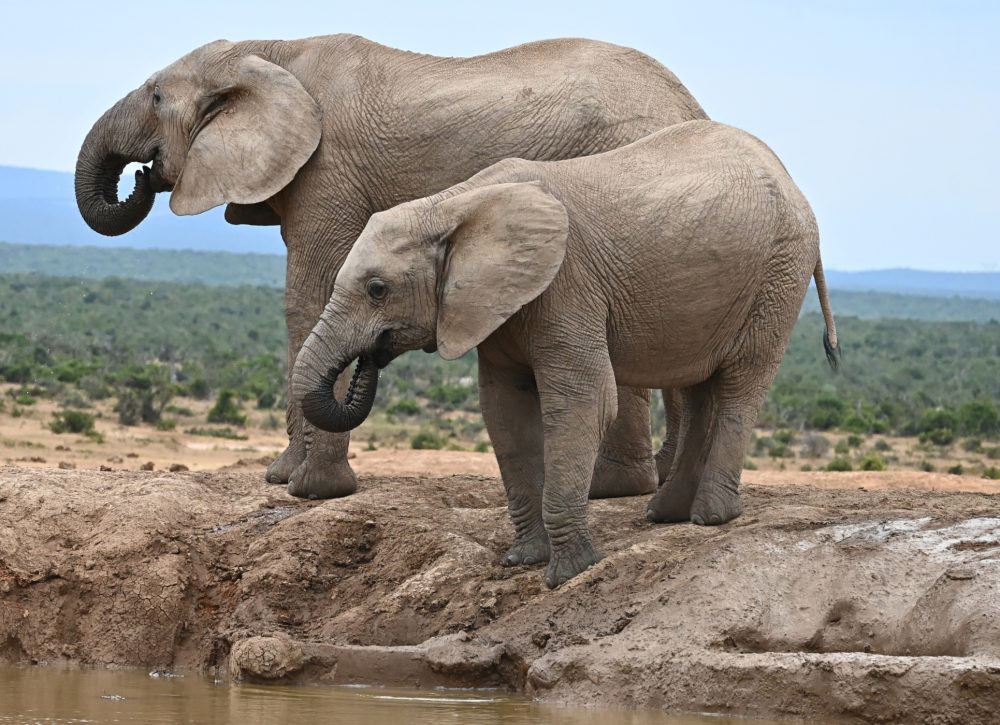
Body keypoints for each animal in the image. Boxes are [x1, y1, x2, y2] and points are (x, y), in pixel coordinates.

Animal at [74, 34, 709, 501]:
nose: (141, 176)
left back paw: (615, 488)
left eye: (156, 97)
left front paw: (313, 490)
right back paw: (656, 482)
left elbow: (306, 297)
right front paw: (281, 478)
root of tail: (690, 104)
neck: (269, 53)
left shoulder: (327, 171)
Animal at [291, 120, 840, 587]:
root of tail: (791, 182)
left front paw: (571, 572)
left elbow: (583, 401)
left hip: (778, 272)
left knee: (739, 384)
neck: (455, 206)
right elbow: (504, 412)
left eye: (377, 290)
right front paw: (523, 560)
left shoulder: (566, 285)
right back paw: (668, 514)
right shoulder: (499, 307)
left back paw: (710, 517)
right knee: (700, 386)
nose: (370, 358)